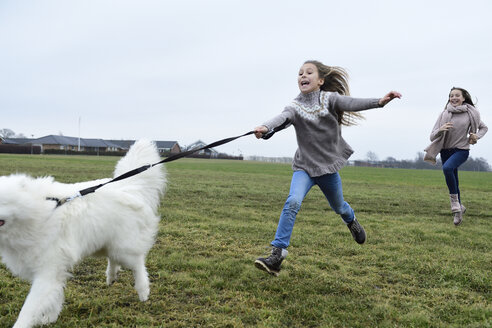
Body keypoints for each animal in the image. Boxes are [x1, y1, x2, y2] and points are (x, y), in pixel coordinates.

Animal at [0, 140, 167, 328]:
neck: (41, 211)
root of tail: (127, 187)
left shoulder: (47, 270)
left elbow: (29, 308)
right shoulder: (53, 271)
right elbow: (54, 297)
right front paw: (50, 317)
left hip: (123, 249)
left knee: (138, 265)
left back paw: (143, 291)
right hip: (105, 244)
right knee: (114, 259)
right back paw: (111, 277)